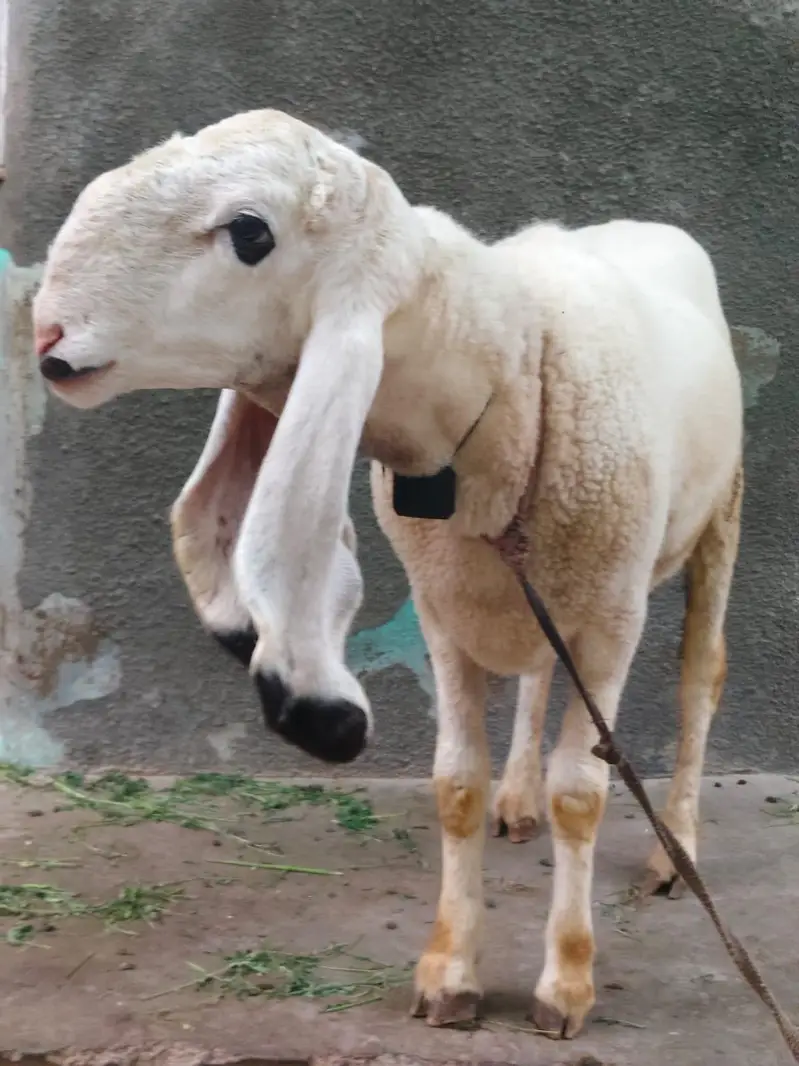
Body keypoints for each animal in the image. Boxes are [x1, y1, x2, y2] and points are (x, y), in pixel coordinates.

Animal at [32, 108, 744, 1040]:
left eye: (250, 233)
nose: (46, 337)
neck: (513, 374)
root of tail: (643, 223)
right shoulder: (444, 607)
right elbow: (455, 785)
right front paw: (449, 974)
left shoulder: (609, 618)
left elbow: (582, 794)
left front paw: (565, 983)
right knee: (534, 678)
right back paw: (519, 797)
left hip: (717, 516)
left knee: (699, 677)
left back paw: (679, 847)